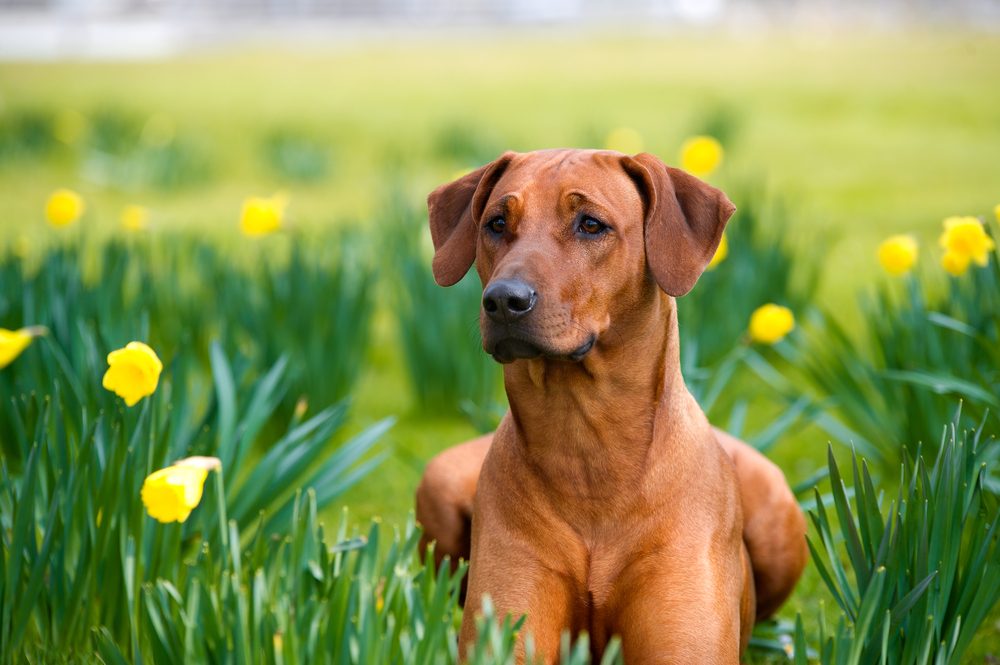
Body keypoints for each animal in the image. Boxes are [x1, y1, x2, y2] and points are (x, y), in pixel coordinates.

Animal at [412, 148, 804, 660]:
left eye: (591, 225)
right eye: (496, 222)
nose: (503, 300)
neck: (588, 450)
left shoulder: (684, 641)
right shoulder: (506, 630)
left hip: (778, 515)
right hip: (438, 482)